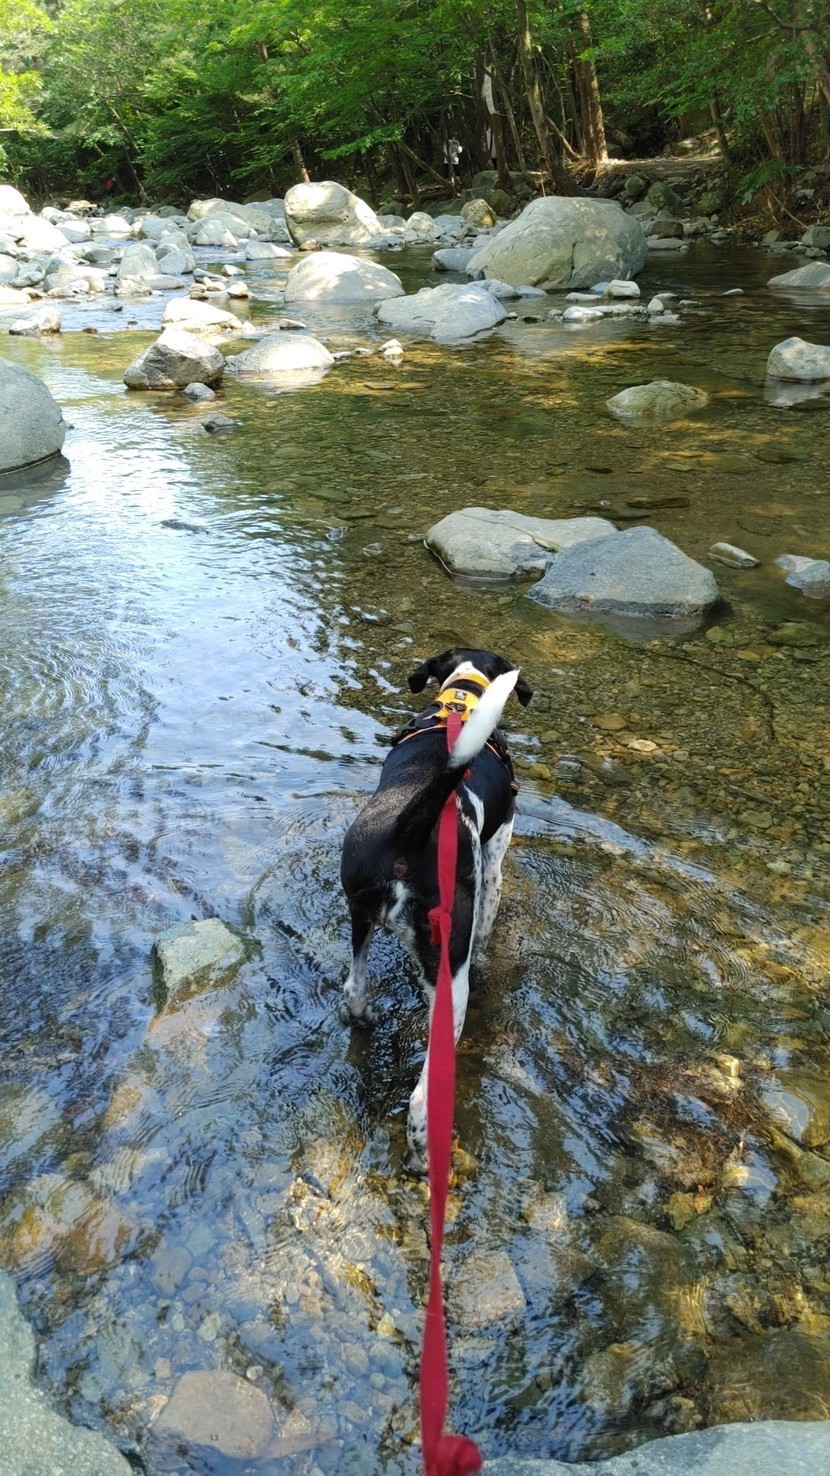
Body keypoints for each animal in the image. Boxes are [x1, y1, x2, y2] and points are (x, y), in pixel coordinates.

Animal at [340, 648, 533, 1166]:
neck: (460, 700)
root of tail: (407, 828)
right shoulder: (494, 863)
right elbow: (487, 926)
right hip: (451, 979)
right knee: (422, 1097)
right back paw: (425, 1151)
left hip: (359, 917)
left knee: (353, 990)